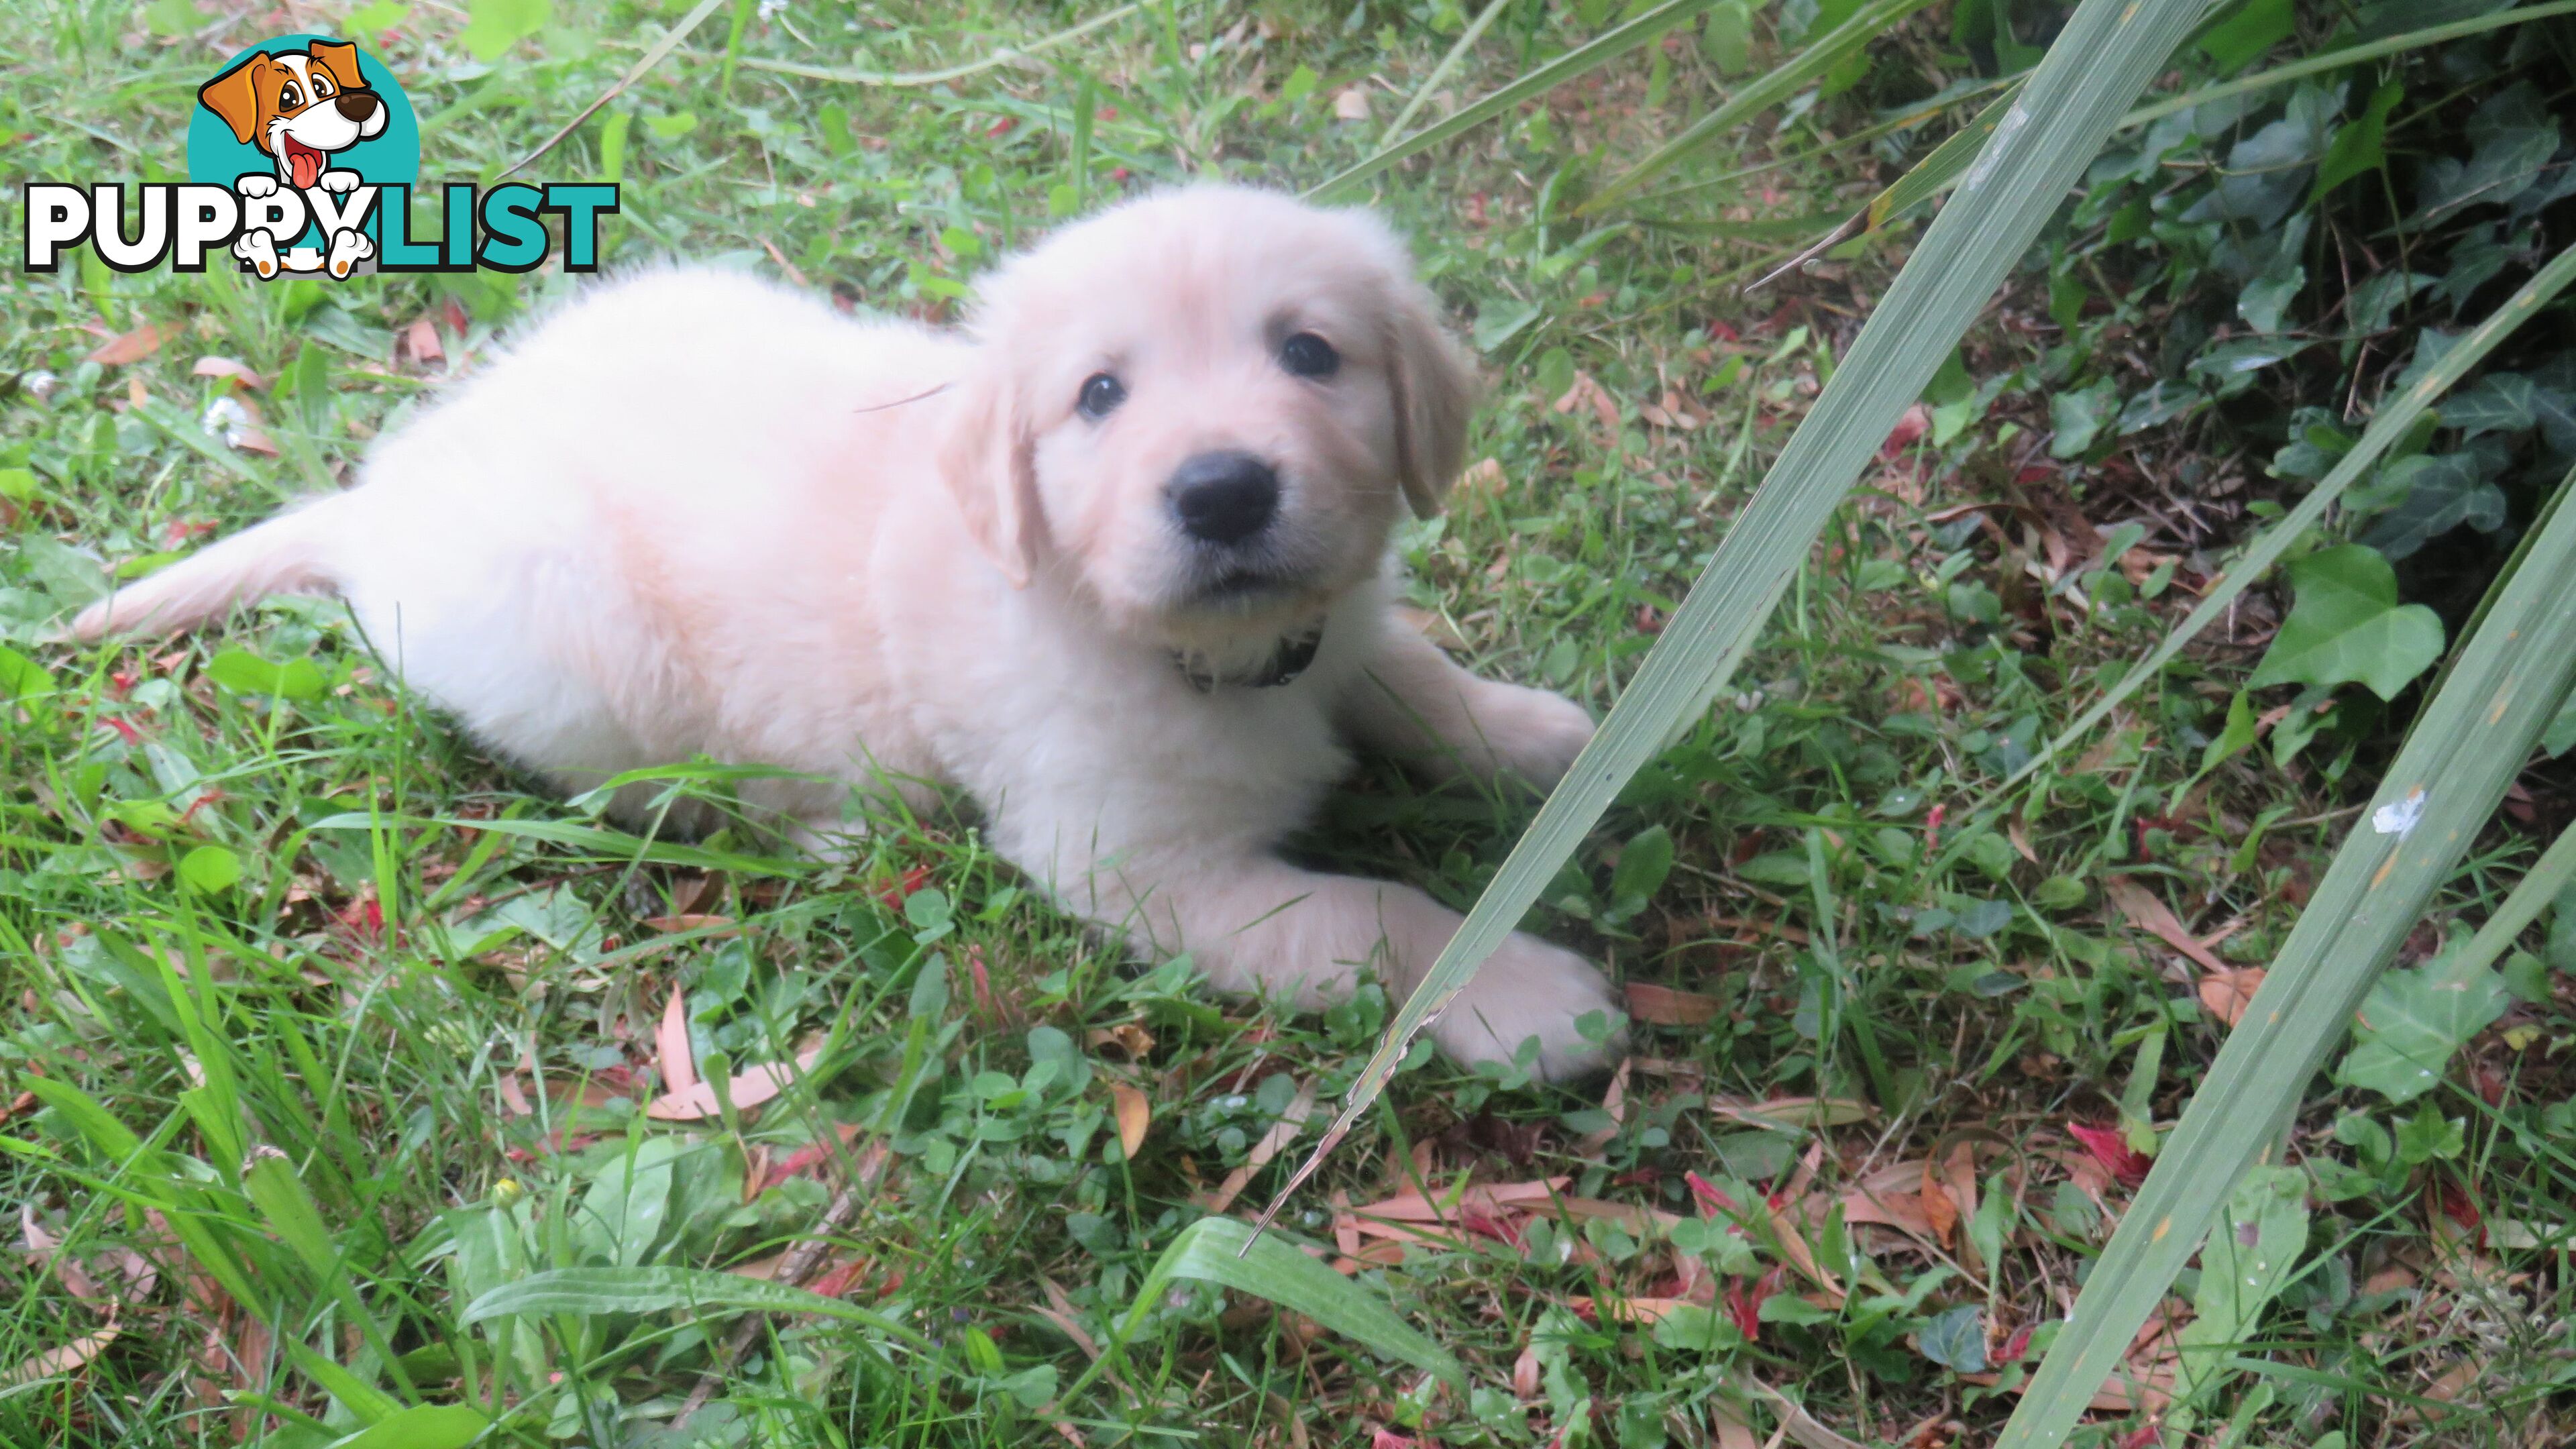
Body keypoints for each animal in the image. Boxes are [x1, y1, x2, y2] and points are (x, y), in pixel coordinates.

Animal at [80, 185, 1617, 1072]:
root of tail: (386, 498)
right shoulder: (1140, 867)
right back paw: (828, 825)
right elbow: (1374, 918)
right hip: (580, 642)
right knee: (646, 786)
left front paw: (1537, 740)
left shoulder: (1333, 627)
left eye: (1309, 353)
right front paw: (1524, 995)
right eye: (1099, 396)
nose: (1225, 490)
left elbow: (1408, 671)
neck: (1206, 655)